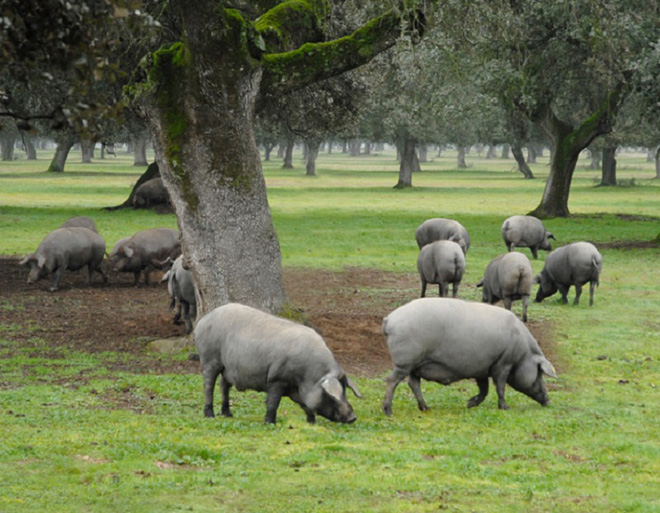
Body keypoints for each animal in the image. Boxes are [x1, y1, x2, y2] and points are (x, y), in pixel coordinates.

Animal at [193, 304, 364, 424]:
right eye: (332, 396)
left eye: (345, 392)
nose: (352, 418)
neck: (307, 376)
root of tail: (203, 320)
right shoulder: (276, 379)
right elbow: (273, 403)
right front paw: (269, 423)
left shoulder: (296, 389)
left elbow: (305, 405)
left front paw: (311, 422)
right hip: (209, 359)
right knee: (208, 386)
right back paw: (210, 416)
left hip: (227, 368)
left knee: (224, 386)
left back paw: (228, 415)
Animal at [382, 298, 556, 414]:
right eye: (540, 373)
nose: (548, 401)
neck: (524, 353)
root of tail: (389, 319)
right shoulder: (503, 364)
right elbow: (500, 386)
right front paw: (505, 408)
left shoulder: (483, 368)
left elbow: (484, 389)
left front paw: (469, 404)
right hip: (404, 362)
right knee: (391, 381)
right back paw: (388, 411)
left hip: (414, 365)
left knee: (413, 383)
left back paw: (425, 408)